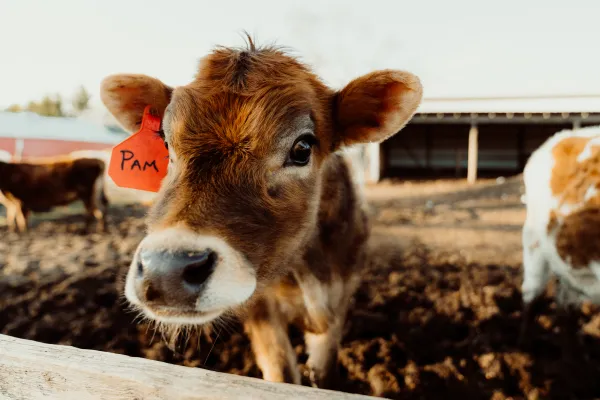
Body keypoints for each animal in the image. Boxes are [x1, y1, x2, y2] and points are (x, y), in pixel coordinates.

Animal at [99, 39, 422, 388]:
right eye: (166, 144)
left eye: (302, 148)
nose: (166, 270)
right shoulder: (260, 308)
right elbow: (281, 372)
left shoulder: (339, 296)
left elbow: (324, 368)